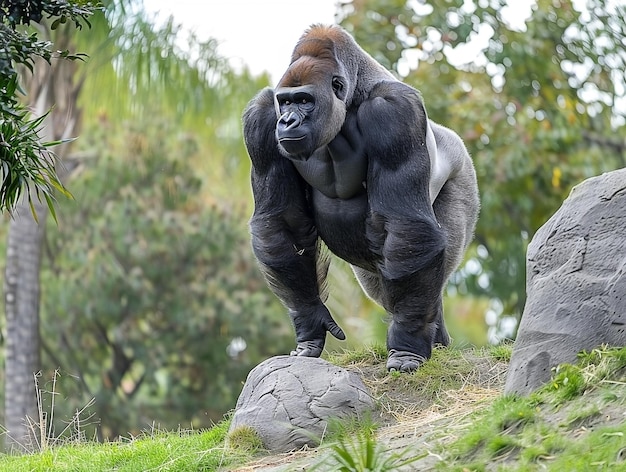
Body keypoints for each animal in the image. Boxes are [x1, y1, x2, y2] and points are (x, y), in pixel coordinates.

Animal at [243, 24, 478, 372]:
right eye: (284, 103)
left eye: (304, 100)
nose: (287, 121)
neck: (351, 96)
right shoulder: (260, 118)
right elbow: (281, 223)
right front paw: (310, 321)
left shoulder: (394, 111)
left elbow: (407, 225)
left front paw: (407, 345)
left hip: (463, 174)